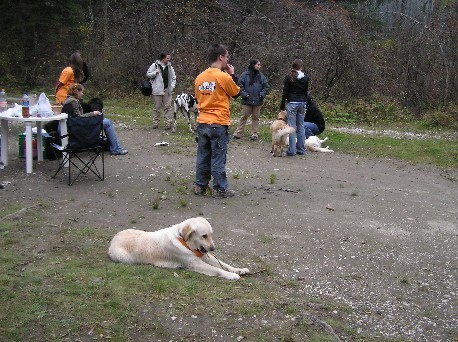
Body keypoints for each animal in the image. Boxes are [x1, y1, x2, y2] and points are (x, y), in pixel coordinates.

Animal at [107, 218, 249, 280]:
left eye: (211, 234)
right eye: (204, 236)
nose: (213, 248)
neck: (184, 241)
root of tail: (114, 238)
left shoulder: (204, 257)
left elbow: (224, 265)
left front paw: (239, 270)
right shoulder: (195, 264)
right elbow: (217, 270)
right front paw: (231, 275)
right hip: (125, 258)